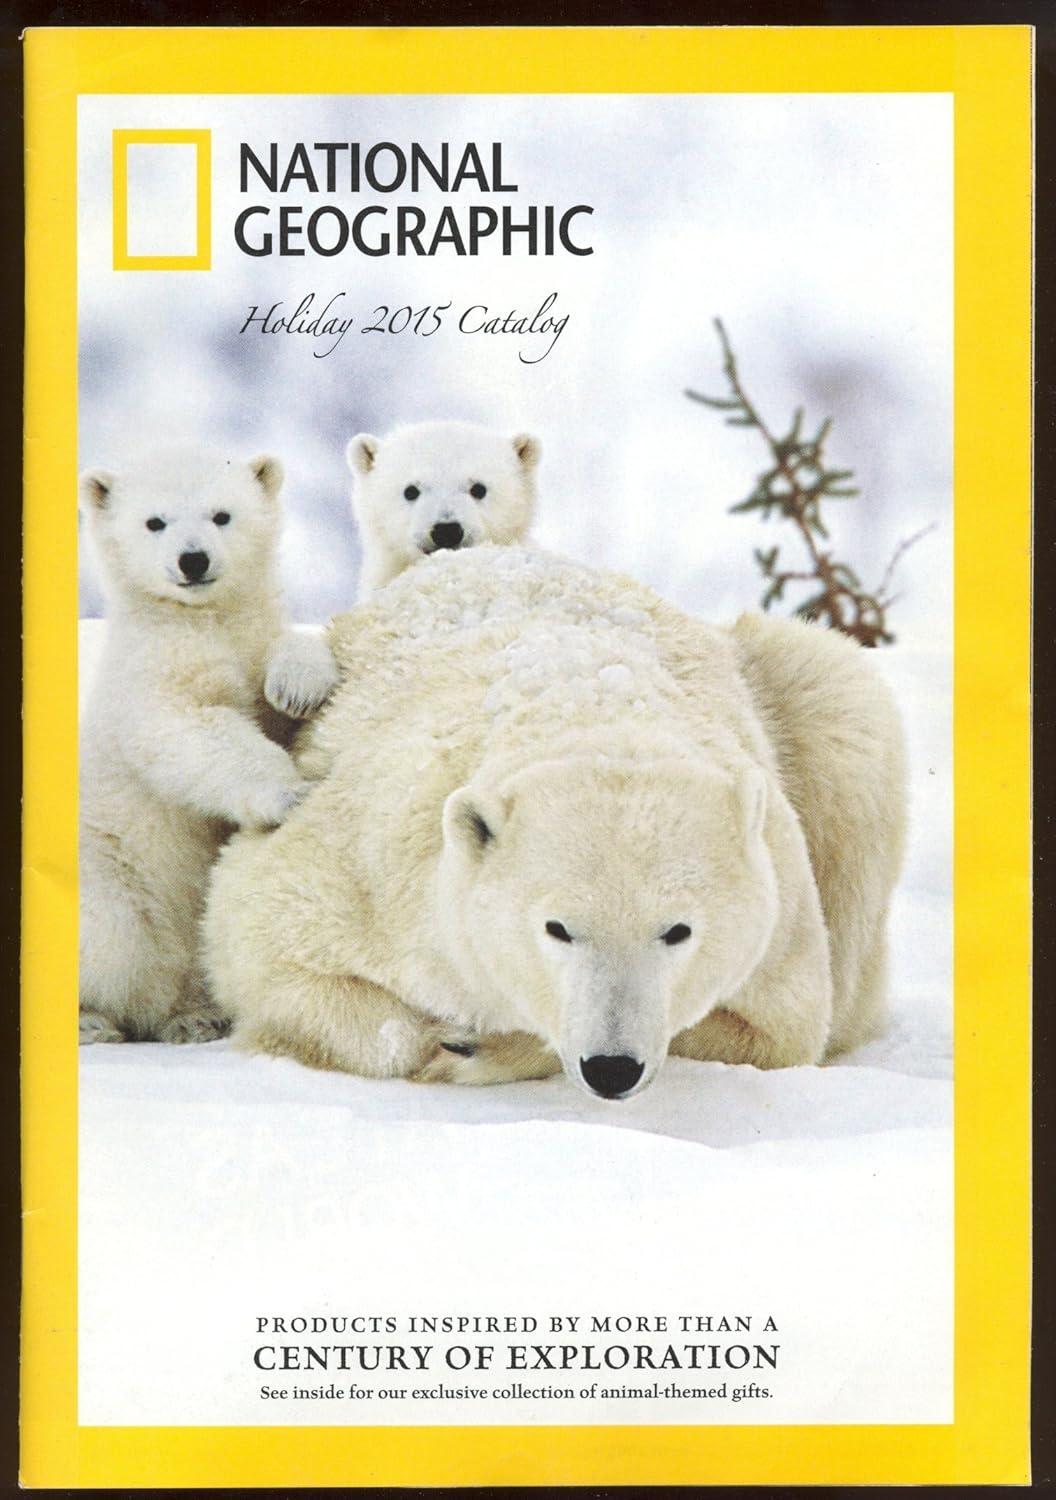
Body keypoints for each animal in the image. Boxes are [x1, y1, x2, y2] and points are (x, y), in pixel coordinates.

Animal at [78, 446, 338, 1045]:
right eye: (155, 522)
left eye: (222, 515)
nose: (193, 561)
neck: (204, 618)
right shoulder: (152, 675)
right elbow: (193, 729)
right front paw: (288, 794)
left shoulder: (250, 635)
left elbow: (279, 685)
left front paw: (297, 686)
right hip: (108, 870)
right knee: (111, 934)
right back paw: (93, 1020)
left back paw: (198, 1017)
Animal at [202, 546, 907, 1099]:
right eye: (558, 928)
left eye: (677, 930)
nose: (612, 1067)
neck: (590, 711)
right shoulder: (371, 862)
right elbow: (259, 936)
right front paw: (442, 1038)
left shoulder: (778, 913)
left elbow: (780, 1030)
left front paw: (478, 1047)